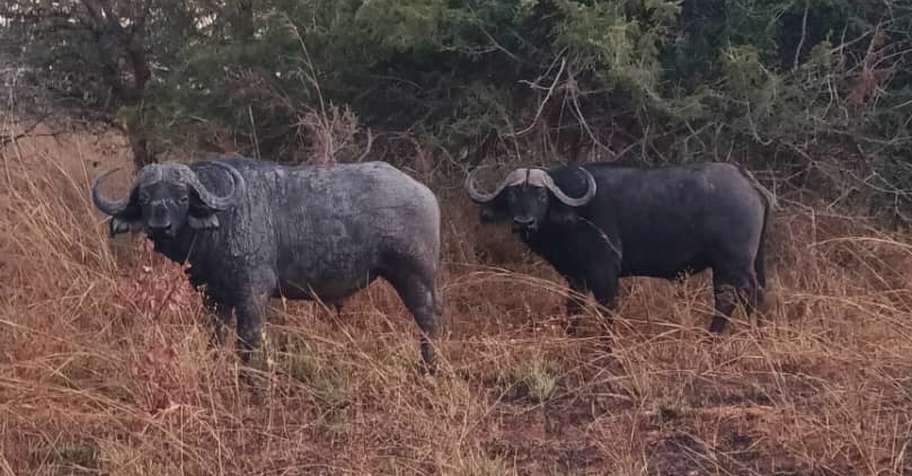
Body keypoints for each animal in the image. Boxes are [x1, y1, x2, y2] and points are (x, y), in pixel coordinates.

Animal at [93, 156, 441, 366]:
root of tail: (425, 193)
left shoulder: (252, 295)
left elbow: (249, 346)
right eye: (145, 198)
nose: (159, 226)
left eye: (181, 197)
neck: (223, 221)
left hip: (415, 278)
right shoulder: (213, 298)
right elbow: (216, 340)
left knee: (430, 322)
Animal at [465, 162, 774, 334]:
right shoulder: (575, 277)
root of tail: (749, 182)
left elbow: (607, 312)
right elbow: (573, 310)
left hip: (733, 264)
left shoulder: (605, 273)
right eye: (512, 195)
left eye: (541, 195)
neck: (576, 213)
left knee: (739, 298)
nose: (523, 221)